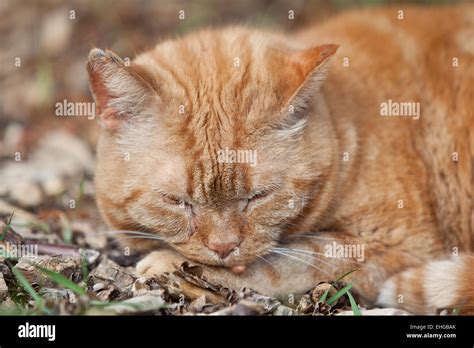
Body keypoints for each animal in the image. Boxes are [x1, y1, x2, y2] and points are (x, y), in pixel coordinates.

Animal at [88, 4, 474, 316]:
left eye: (259, 197)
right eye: (175, 201)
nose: (224, 247)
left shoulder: (399, 245)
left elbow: (286, 261)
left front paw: (172, 267)